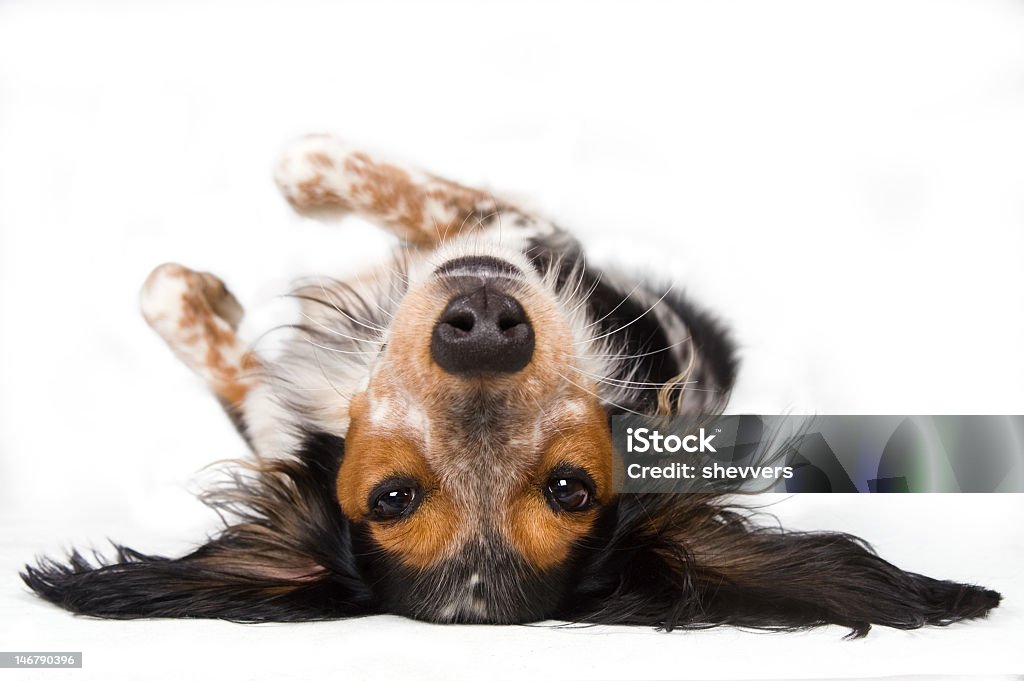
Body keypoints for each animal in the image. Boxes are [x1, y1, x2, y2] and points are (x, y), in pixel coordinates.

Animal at [22, 135, 999, 634]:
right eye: (392, 495)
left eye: (572, 487)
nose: (485, 326)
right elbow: (198, 322)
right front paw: (214, 297)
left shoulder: (525, 232)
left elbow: (301, 169)